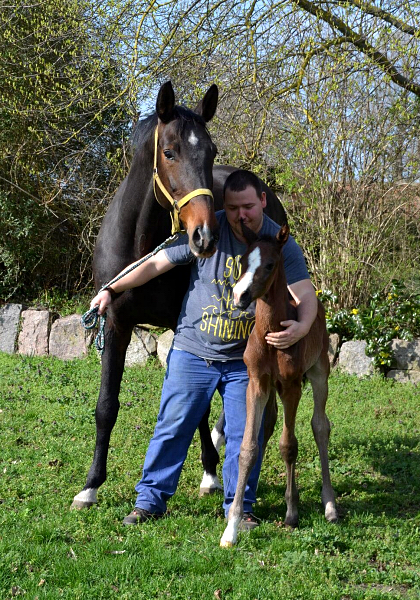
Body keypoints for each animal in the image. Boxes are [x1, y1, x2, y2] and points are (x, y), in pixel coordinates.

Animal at [220, 223, 338, 548]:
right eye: (243, 261)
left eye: (270, 264)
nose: (240, 296)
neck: (270, 333)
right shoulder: (257, 384)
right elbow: (248, 447)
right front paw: (231, 528)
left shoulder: (291, 385)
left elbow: (289, 446)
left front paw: (292, 512)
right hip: (273, 391)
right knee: (269, 426)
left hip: (319, 373)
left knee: (320, 426)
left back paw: (330, 505)